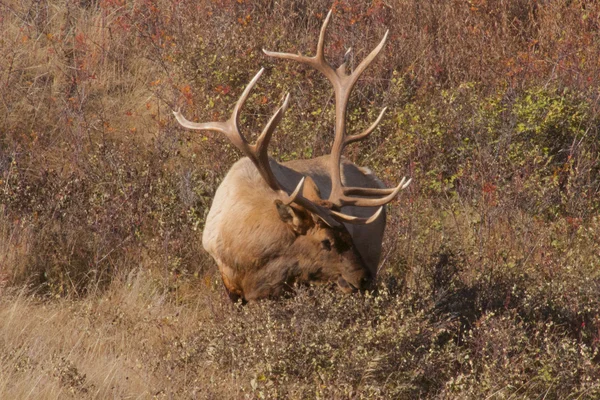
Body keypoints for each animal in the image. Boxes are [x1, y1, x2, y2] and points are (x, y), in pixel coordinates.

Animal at [171, 10, 410, 300]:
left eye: (349, 235)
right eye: (326, 242)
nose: (364, 278)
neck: (250, 260)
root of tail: (371, 176)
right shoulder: (230, 284)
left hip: (374, 248)